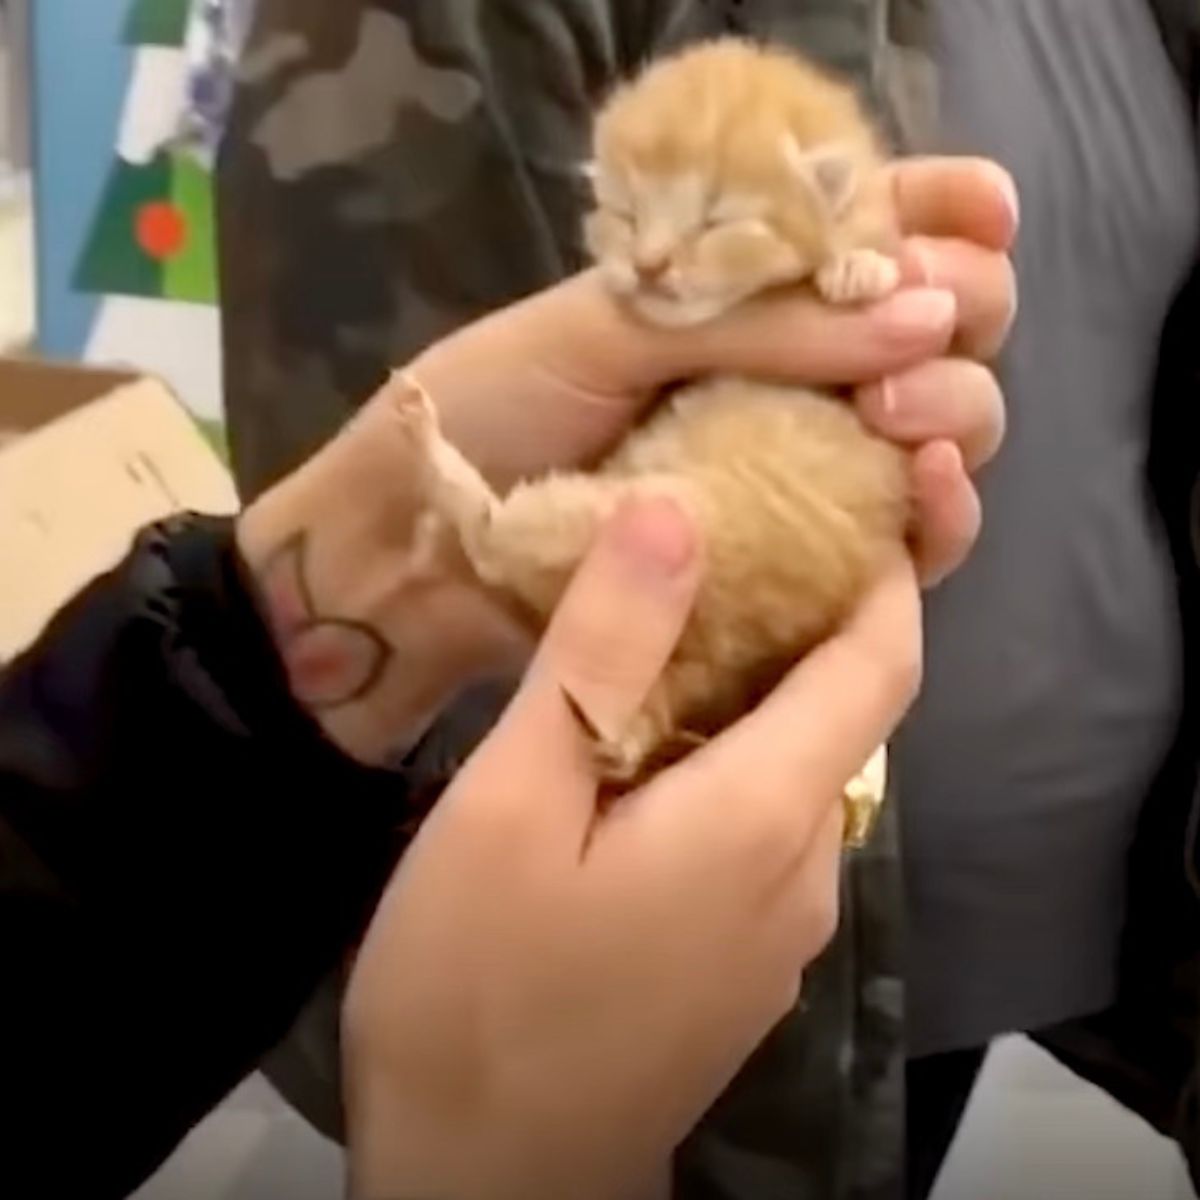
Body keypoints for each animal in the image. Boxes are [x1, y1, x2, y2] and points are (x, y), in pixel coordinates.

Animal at [403, 37, 907, 782]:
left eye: (716, 221)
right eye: (627, 213)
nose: (648, 267)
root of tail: (689, 672)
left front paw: (857, 270)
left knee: (495, 545)